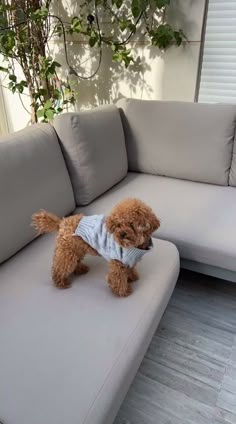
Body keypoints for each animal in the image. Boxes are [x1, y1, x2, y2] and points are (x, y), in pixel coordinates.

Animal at [31, 198, 160, 294]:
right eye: (118, 225)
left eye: (131, 224)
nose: (122, 234)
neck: (135, 246)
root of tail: (61, 222)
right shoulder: (117, 262)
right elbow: (117, 278)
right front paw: (123, 291)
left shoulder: (128, 260)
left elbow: (130, 269)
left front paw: (133, 278)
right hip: (67, 250)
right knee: (60, 267)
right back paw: (61, 283)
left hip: (76, 248)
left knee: (75, 261)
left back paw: (80, 270)